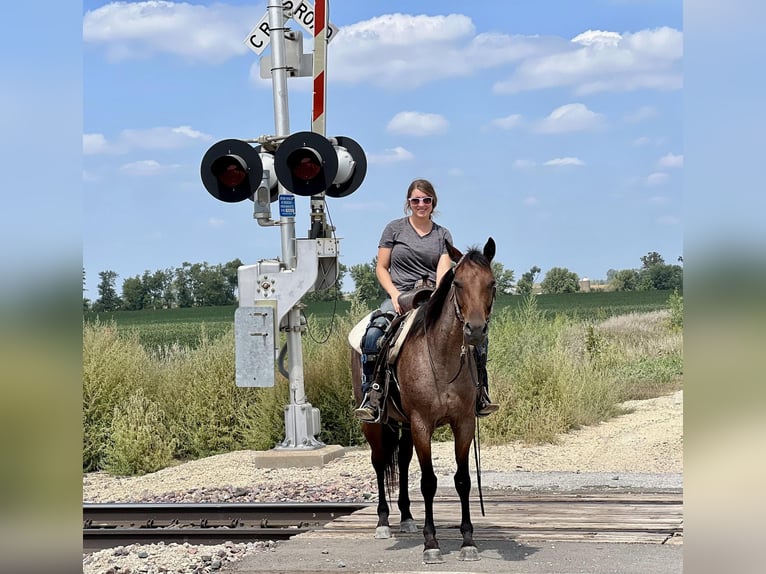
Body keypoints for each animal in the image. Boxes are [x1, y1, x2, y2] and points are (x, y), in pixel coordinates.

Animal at [352, 236, 500, 564]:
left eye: (492, 283)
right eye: (457, 283)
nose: (475, 330)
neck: (442, 357)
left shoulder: (463, 423)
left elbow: (462, 480)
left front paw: (468, 541)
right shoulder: (422, 423)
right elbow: (429, 482)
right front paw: (431, 543)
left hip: (405, 425)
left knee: (403, 461)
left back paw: (407, 518)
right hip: (376, 424)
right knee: (379, 463)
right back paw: (383, 522)